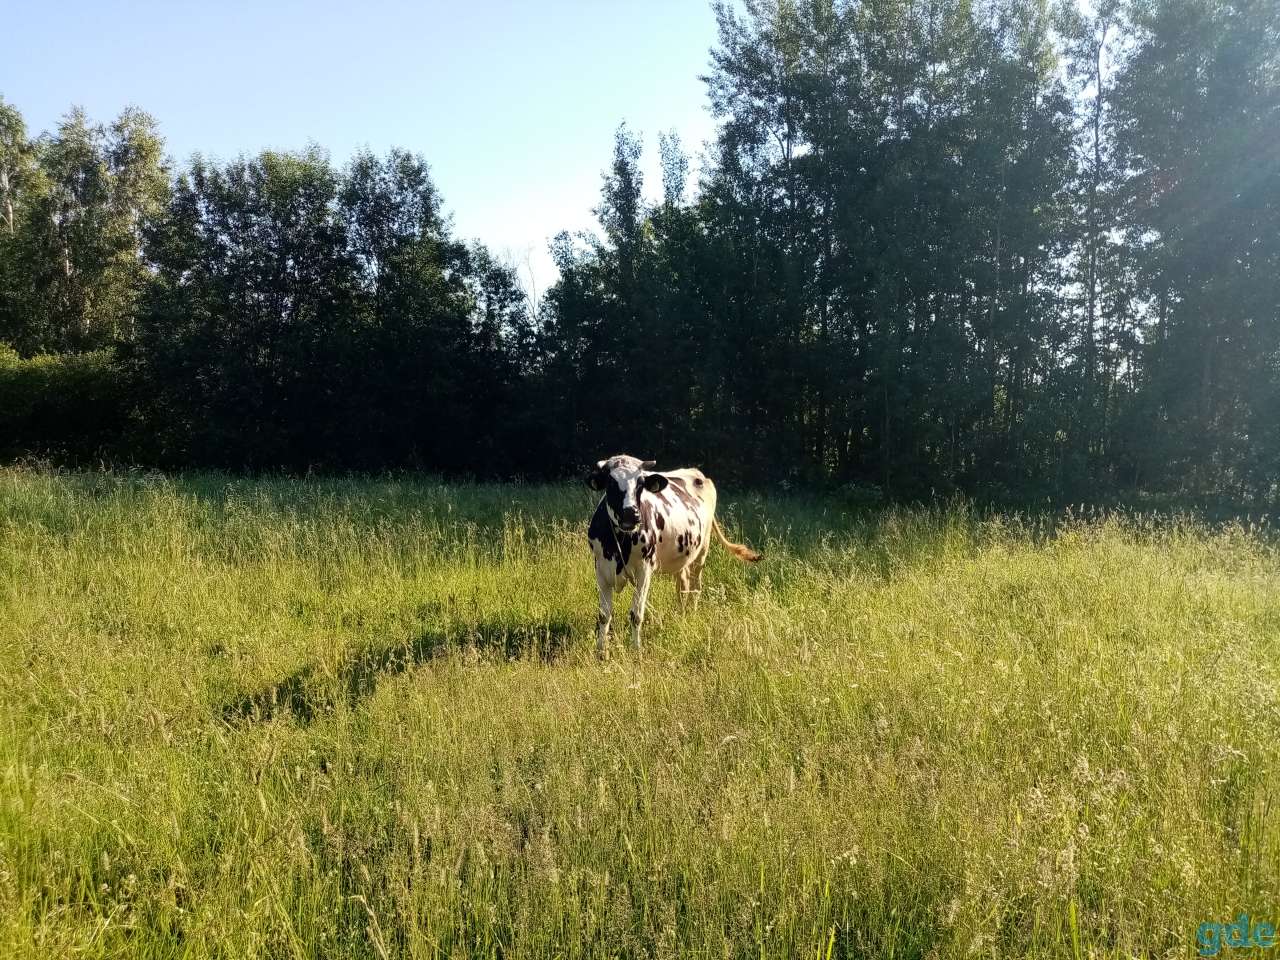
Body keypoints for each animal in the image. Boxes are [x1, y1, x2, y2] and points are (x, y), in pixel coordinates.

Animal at [587, 454, 760, 655]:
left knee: (695, 586)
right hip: (683, 555)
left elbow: (636, 614)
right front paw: (601, 652)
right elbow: (604, 615)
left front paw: (636, 650)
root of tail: (697, 473)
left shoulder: (644, 571)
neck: (622, 542)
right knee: (682, 585)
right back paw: (681, 614)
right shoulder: (600, 568)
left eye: (640, 483)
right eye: (611, 483)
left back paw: (691, 614)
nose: (631, 514)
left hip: (702, 550)